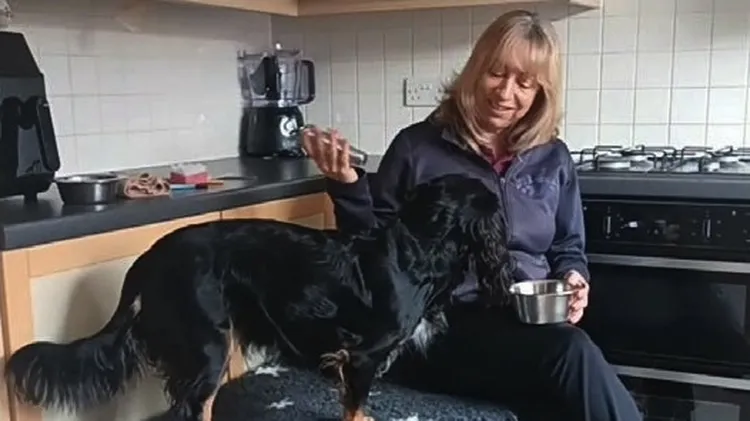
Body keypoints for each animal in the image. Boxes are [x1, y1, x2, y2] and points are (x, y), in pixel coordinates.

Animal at [4, 173, 514, 421]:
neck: (417, 247)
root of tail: (148, 259)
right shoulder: (361, 355)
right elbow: (356, 409)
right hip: (208, 345)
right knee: (191, 409)